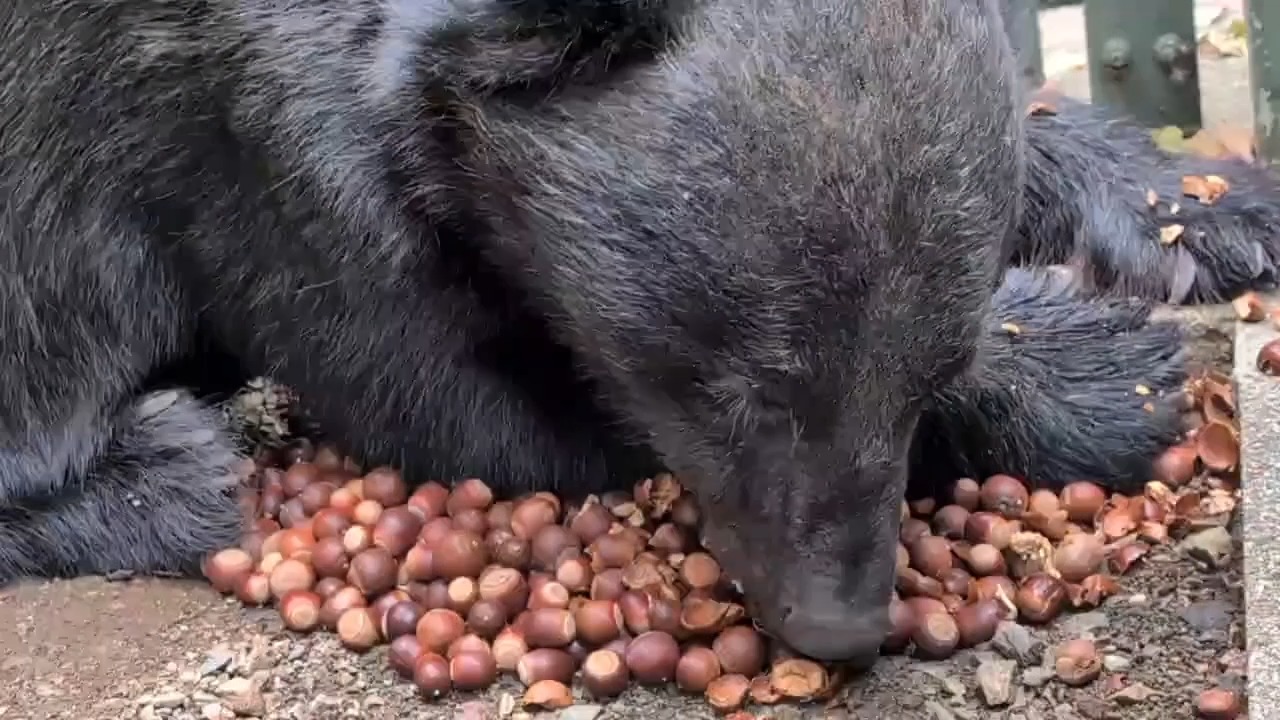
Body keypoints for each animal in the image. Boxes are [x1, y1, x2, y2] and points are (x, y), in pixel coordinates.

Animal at [0, 0, 1265, 663]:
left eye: (926, 367)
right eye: (738, 385)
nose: (839, 627)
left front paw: (1202, 206)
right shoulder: (257, 149)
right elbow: (475, 403)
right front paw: (1095, 370)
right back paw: (155, 468)